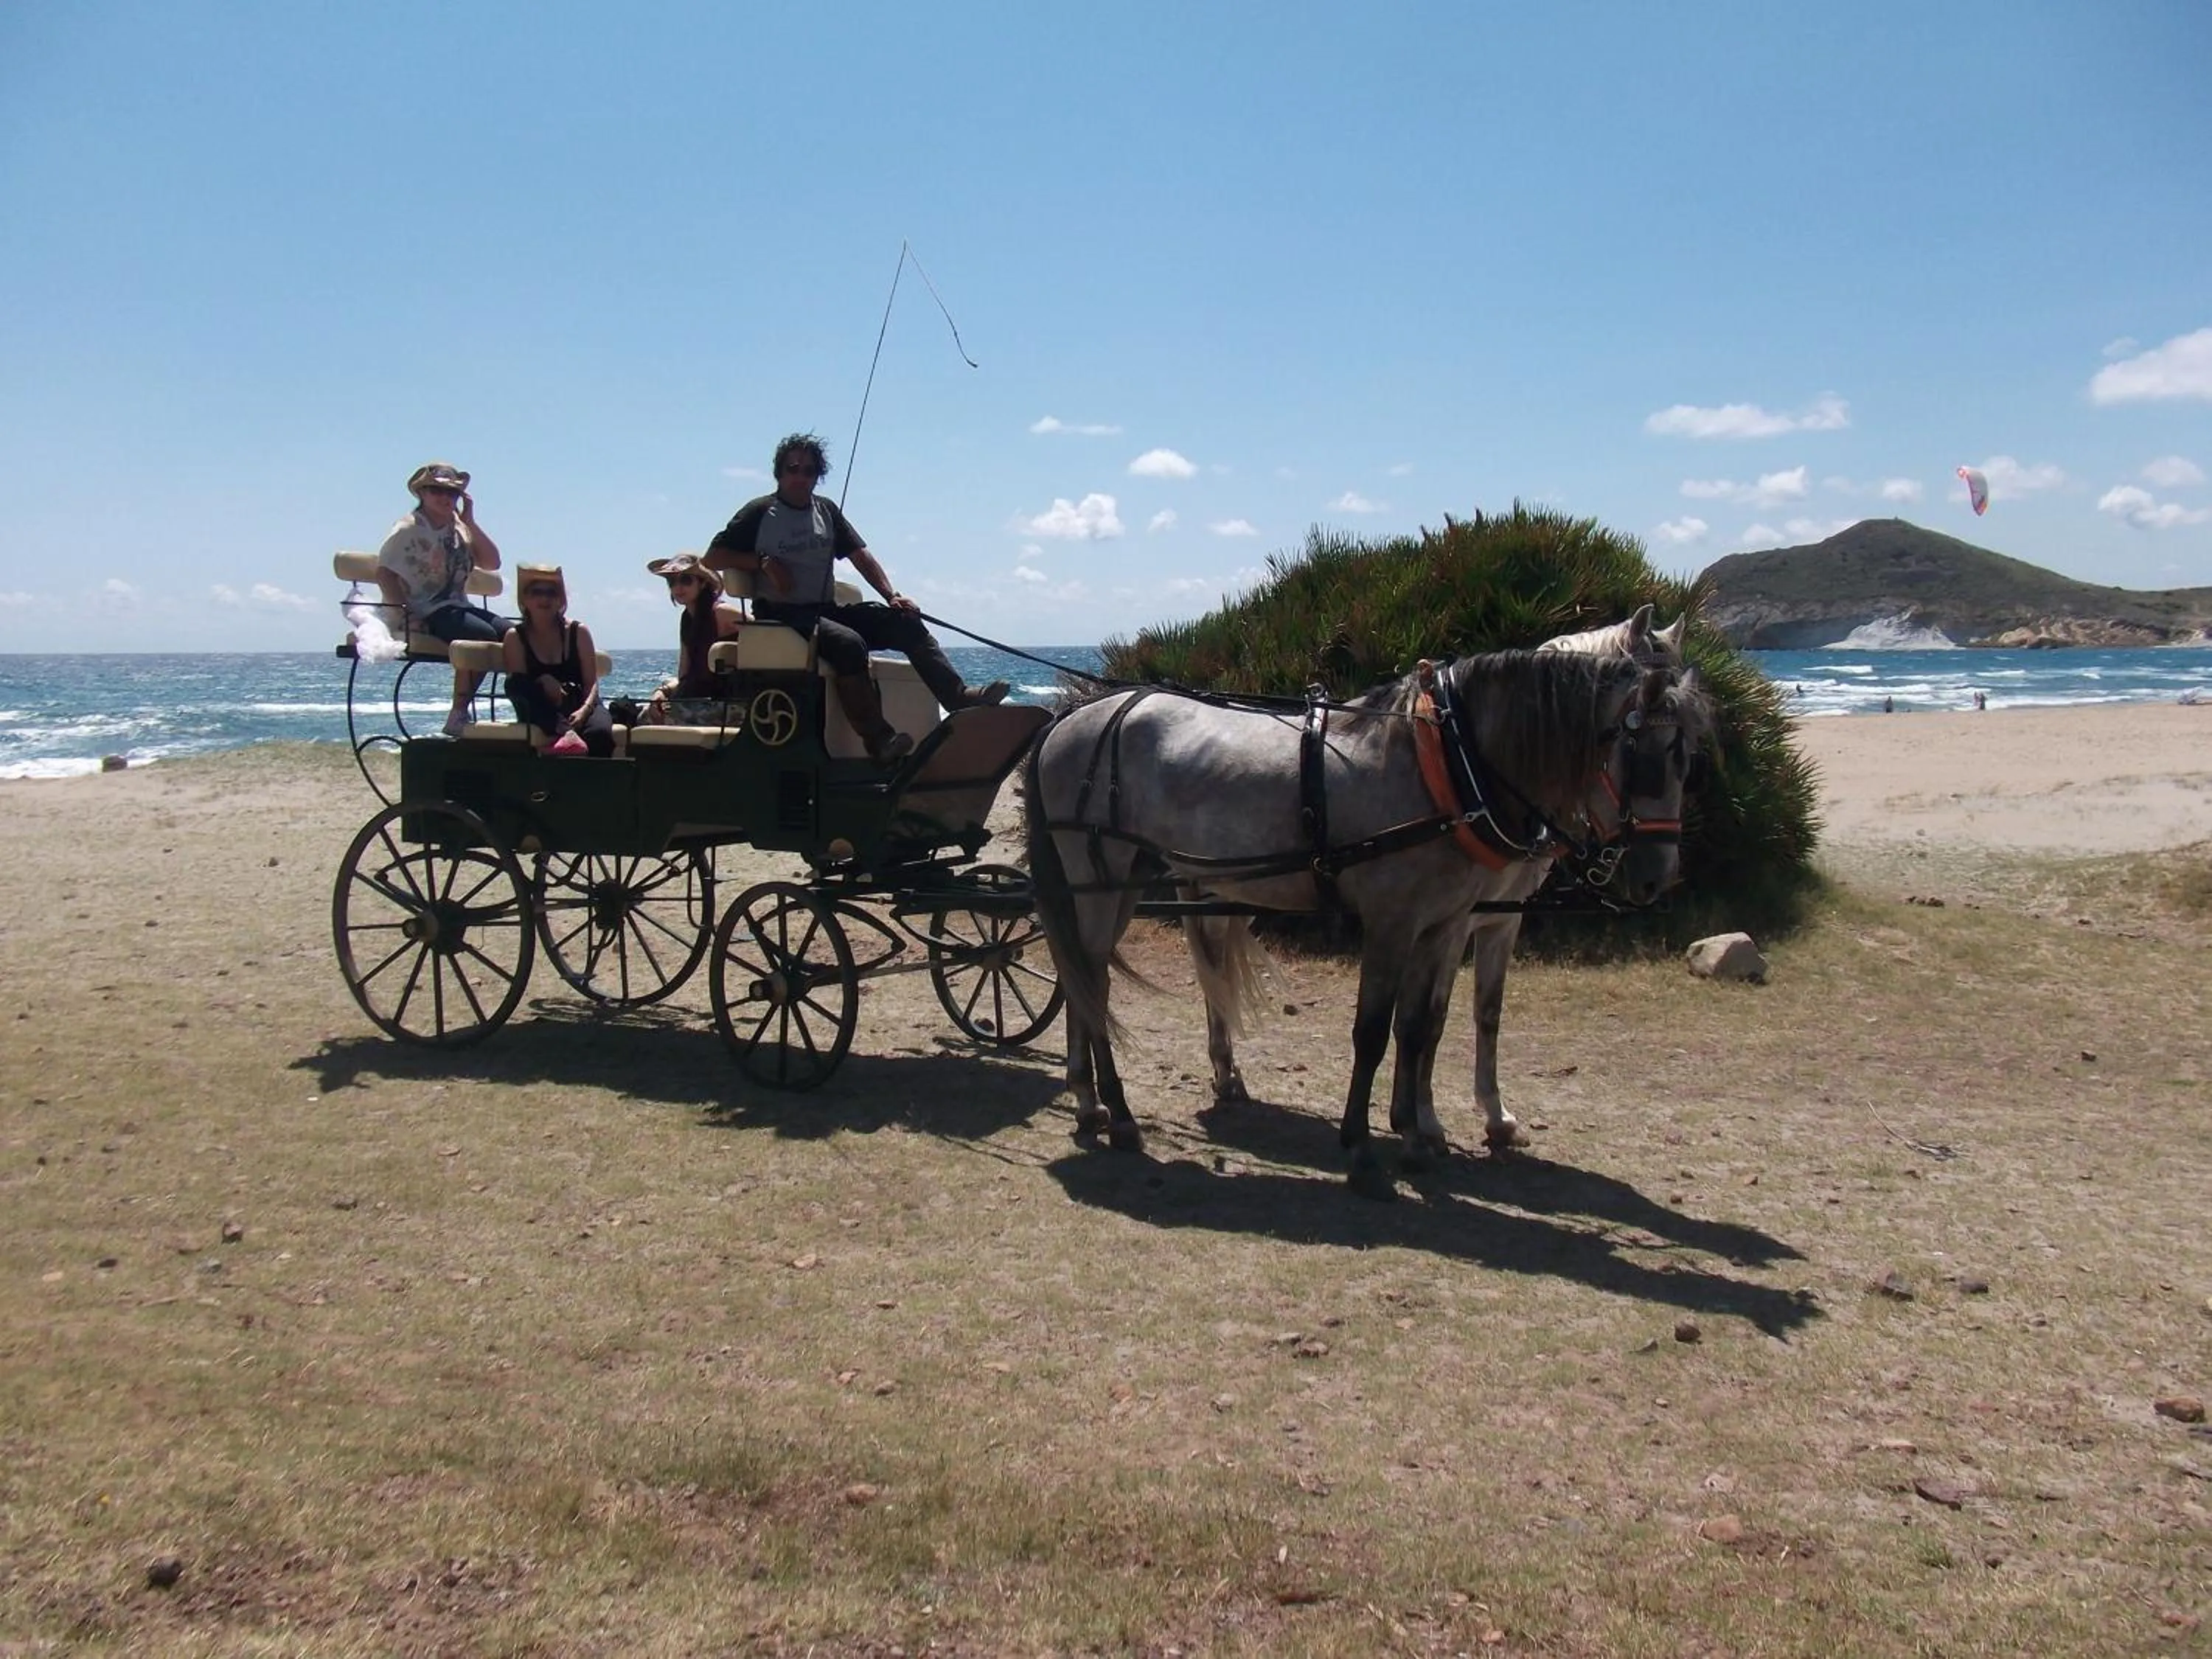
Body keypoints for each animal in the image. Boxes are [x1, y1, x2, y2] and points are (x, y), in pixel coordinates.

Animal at [1023, 649, 1710, 1197]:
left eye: (1688, 760)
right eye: (1647, 757)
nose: (1659, 876)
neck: (1445, 763)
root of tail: (1066, 723)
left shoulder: (1442, 925)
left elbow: (1419, 1028)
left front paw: (1414, 1135)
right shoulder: (1391, 923)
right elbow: (1373, 1034)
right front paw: (1361, 1150)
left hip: (1119, 884)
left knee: (1085, 979)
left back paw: (1089, 1103)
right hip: (1098, 877)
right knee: (1090, 982)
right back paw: (1117, 1112)